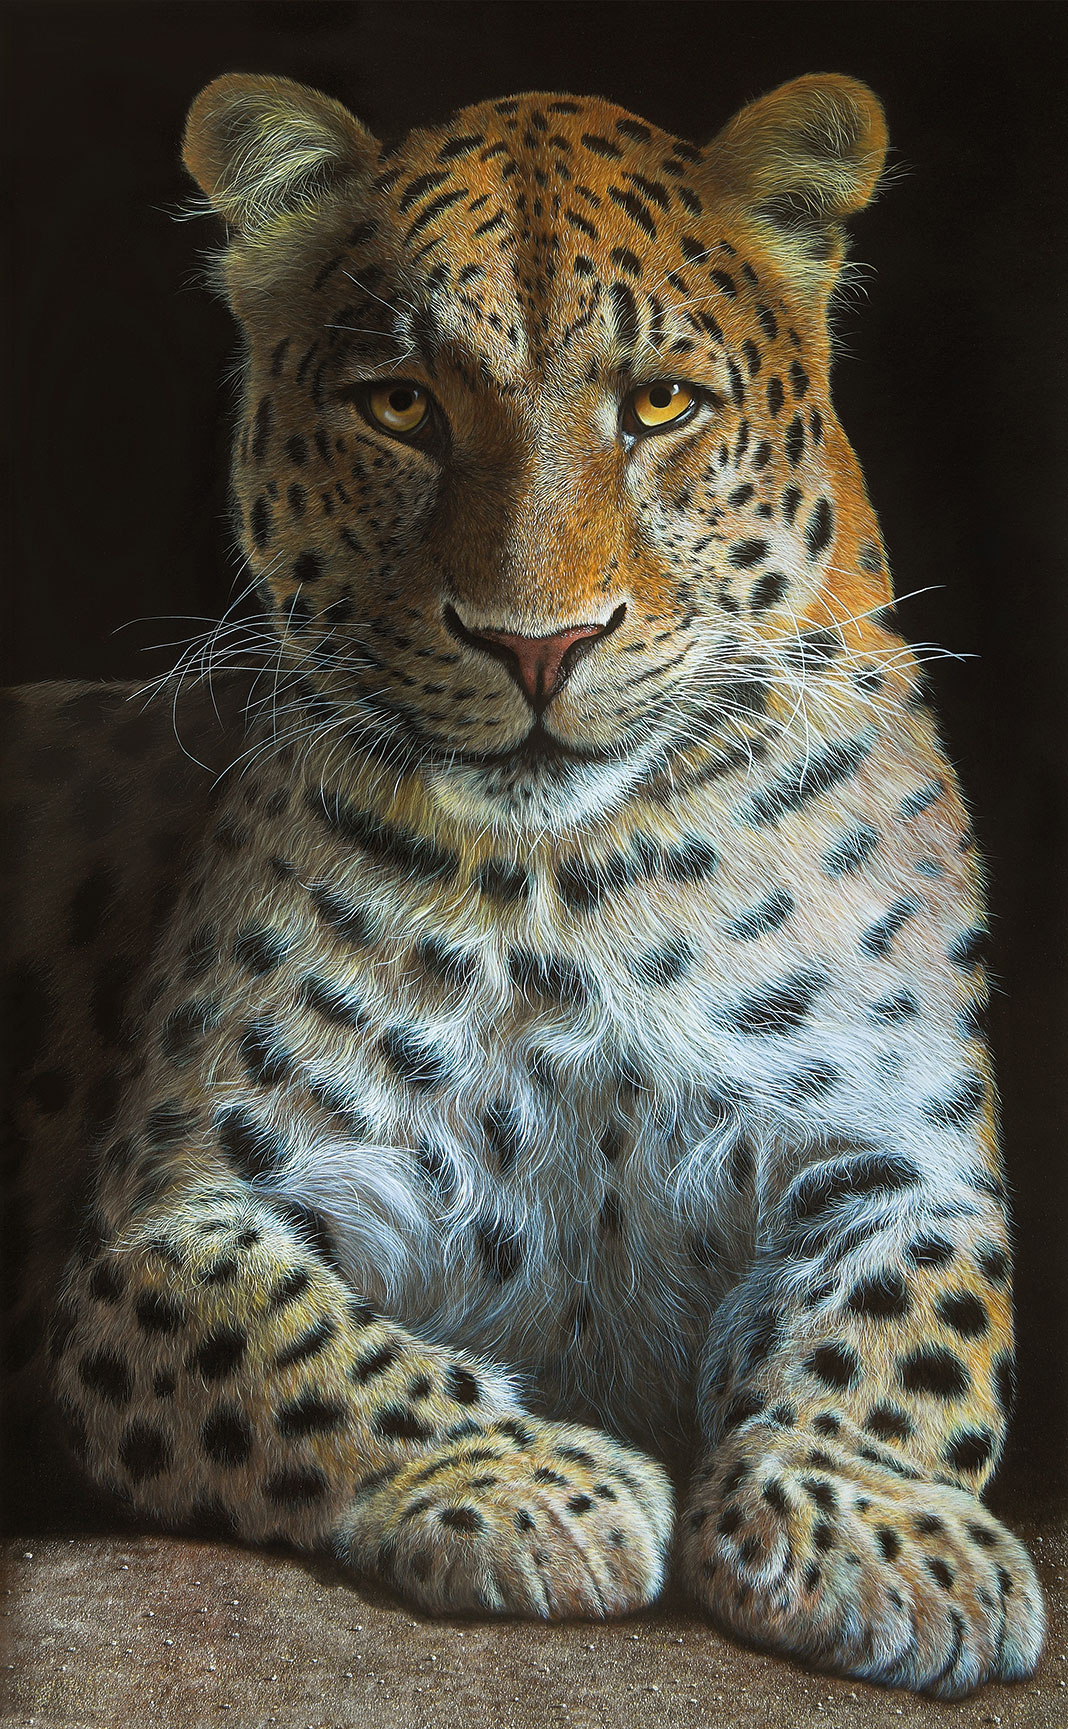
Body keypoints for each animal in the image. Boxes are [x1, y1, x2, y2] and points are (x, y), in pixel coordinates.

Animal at [0, 70, 1047, 1698]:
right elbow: (303, 1351)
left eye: (660, 405)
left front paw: (879, 1529)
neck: (584, 883)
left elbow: (902, 1333)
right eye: (401, 406)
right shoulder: (178, 1215)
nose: (536, 645)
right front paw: (533, 1482)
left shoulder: (897, 1147)